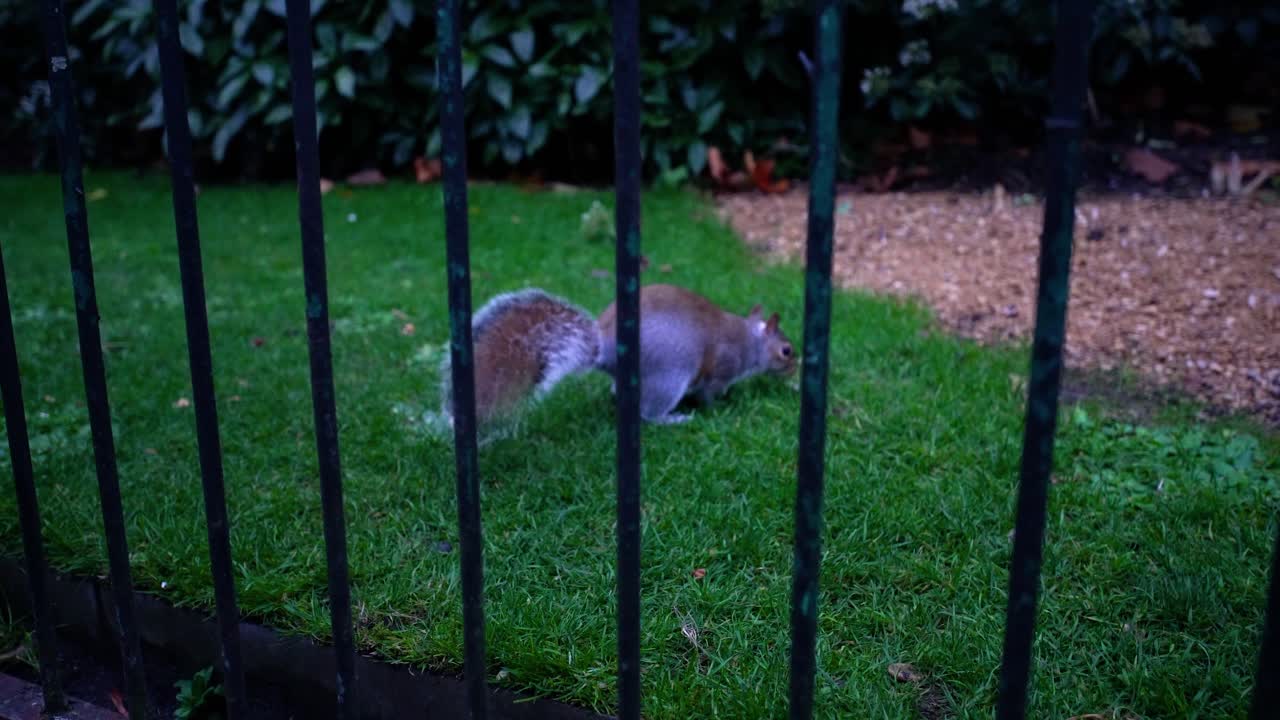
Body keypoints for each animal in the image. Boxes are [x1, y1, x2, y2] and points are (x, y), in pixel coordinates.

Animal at [439, 283, 796, 429]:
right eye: (786, 351)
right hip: (670, 377)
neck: (750, 341)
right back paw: (672, 419)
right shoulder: (721, 368)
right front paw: (720, 405)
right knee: (647, 414)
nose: (796, 368)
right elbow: (710, 392)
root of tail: (608, 350)